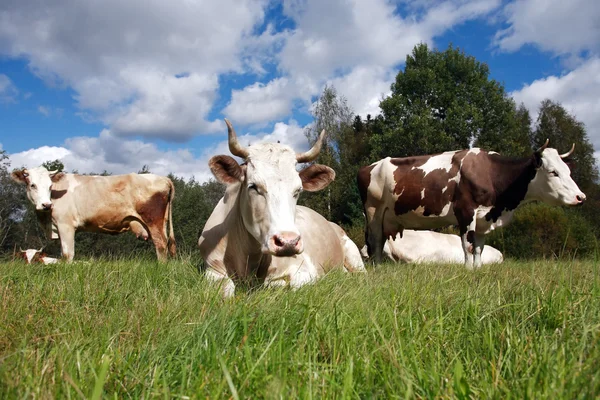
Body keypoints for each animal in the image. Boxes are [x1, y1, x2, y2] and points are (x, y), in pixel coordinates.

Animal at [11, 168, 176, 264]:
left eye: (50, 186)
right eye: (32, 185)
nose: (46, 204)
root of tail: (164, 178)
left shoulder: (66, 225)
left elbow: (67, 255)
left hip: (153, 220)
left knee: (161, 244)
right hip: (161, 221)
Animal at [197, 119, 366, 296]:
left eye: (298, 190)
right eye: (253, 186)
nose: (288, 242)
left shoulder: (304, 270)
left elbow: (278, 284)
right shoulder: (211, 269)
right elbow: (225, 289)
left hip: (354, 254)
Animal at [358, 141, 584, 268]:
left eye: (568, 171)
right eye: (553, 172)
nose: (581, 197)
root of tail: (370, 166)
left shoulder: (484, 219)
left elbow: (478, 249)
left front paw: (477, 270)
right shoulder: (465, 212)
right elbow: (467, 246)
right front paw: (467, 271)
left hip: (387, 218)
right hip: (374, 212)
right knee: (375, 243)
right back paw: (378, 268)